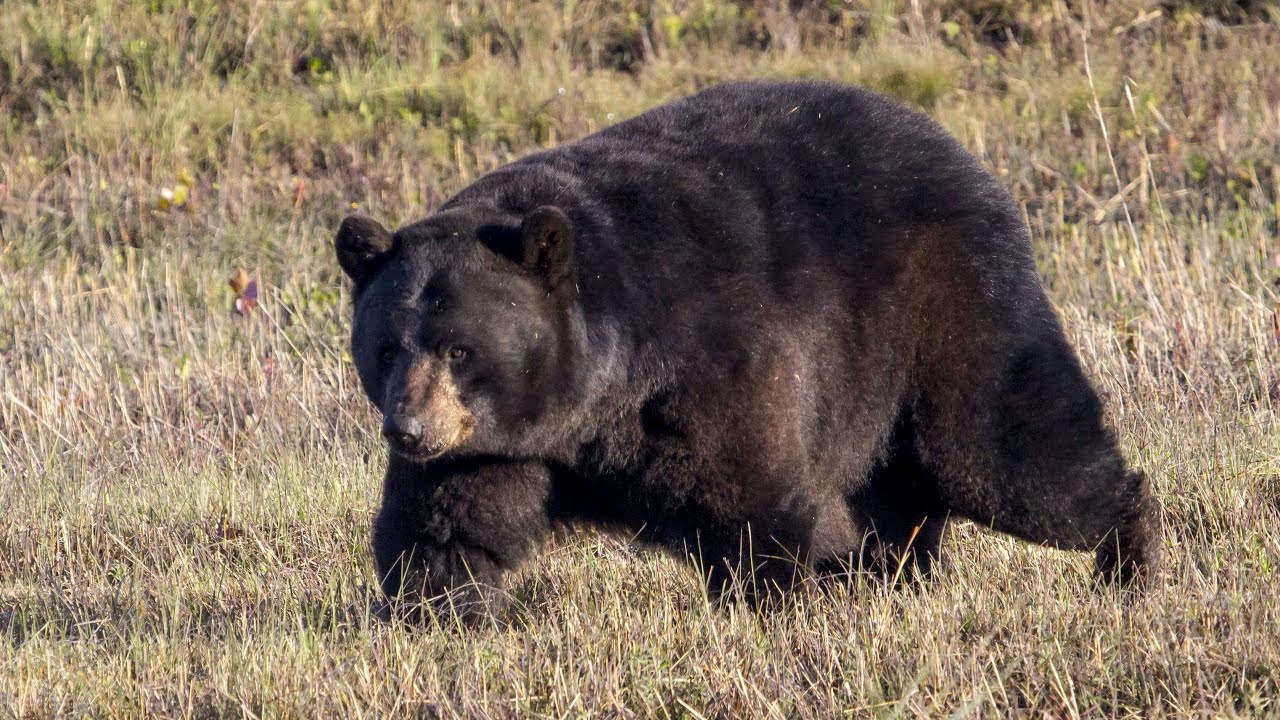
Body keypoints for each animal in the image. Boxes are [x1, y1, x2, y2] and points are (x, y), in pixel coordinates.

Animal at [335, 80, 1161, 617]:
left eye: (460, 349)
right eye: (387, 348)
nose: (407, 430)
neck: (598, 390)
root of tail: (968, 158)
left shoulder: (710, 363)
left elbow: (751, 498)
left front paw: (783, 599)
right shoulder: (498, 443)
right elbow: (449, 526)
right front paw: (436, 608)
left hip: (946, 308)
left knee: (1005, 453)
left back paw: (1128, 550)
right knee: (902, 492)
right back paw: (894, 574)